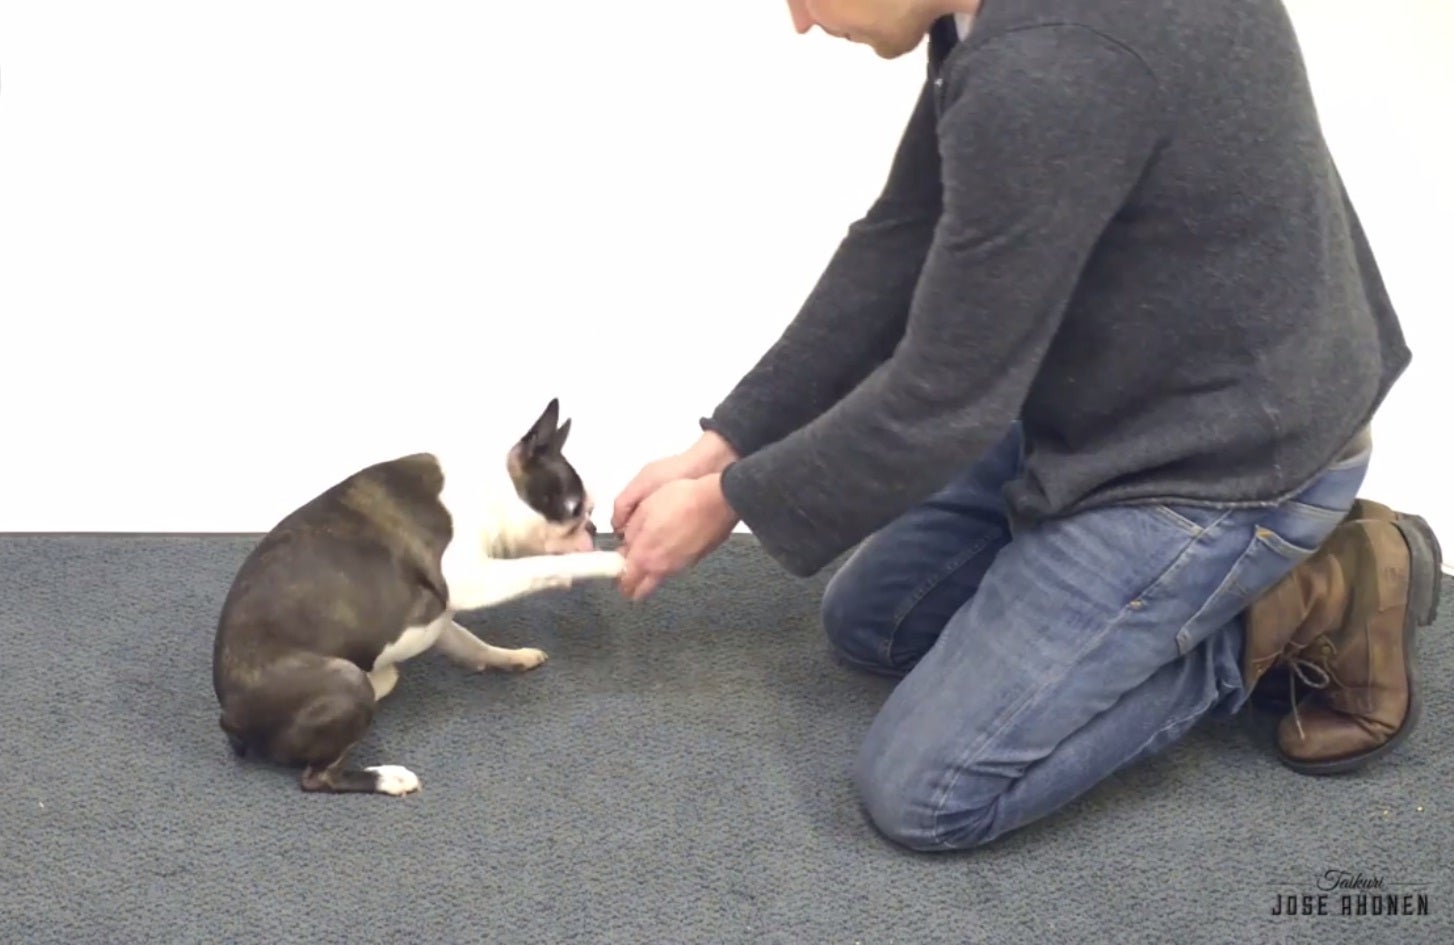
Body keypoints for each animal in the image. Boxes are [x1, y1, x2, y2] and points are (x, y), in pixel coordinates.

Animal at [212, 398, 625, 796]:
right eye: (575, 509)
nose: (593, 527)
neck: (490, 494)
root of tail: (229, 717)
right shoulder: (466, 578)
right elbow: (543, 566)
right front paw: (609, 561)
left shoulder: (440, 612)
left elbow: (469, 642)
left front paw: (510, 656)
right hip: (346, 681)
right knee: (317, 777)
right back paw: (389, 778)